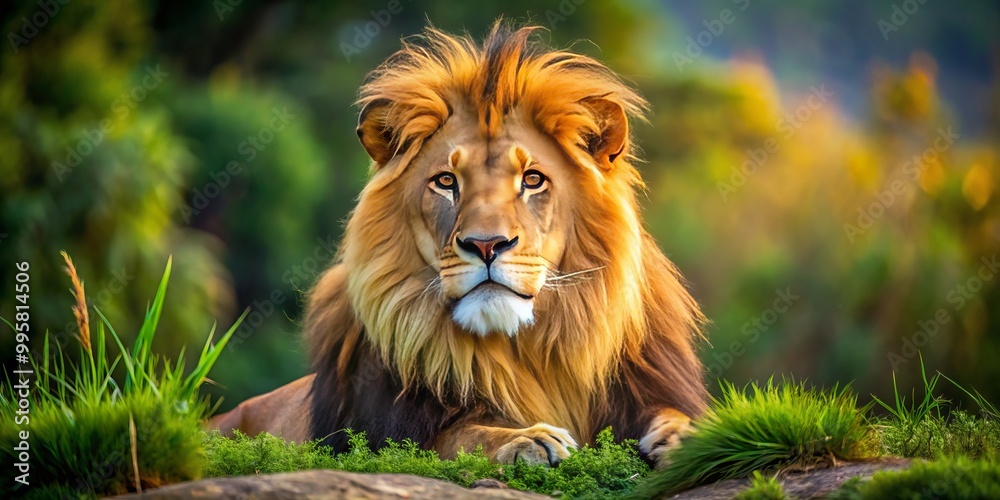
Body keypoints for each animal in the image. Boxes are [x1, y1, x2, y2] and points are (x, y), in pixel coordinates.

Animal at [210, 22, 708, 469]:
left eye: (532, 180)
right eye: (446, 182)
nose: (486, 245)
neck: (521, 352)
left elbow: (671, 412)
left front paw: (692, 436)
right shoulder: (378, 436)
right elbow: (461, 434)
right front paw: (527, 440)